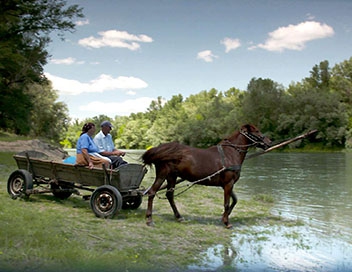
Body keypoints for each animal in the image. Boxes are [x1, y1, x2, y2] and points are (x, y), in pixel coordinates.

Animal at [142, 123, 270, 227]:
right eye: (257, 131)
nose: (269, 142)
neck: (230, 153)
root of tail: (159, 149)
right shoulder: (228, 183)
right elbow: (227, 203)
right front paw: (227, 222)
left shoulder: (227, 184)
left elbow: (234, 200)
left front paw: (224, 217)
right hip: (162, 175)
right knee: (152, 192)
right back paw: (149, 219)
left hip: (172, 176)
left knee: (169, 195)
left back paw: (179, 217)